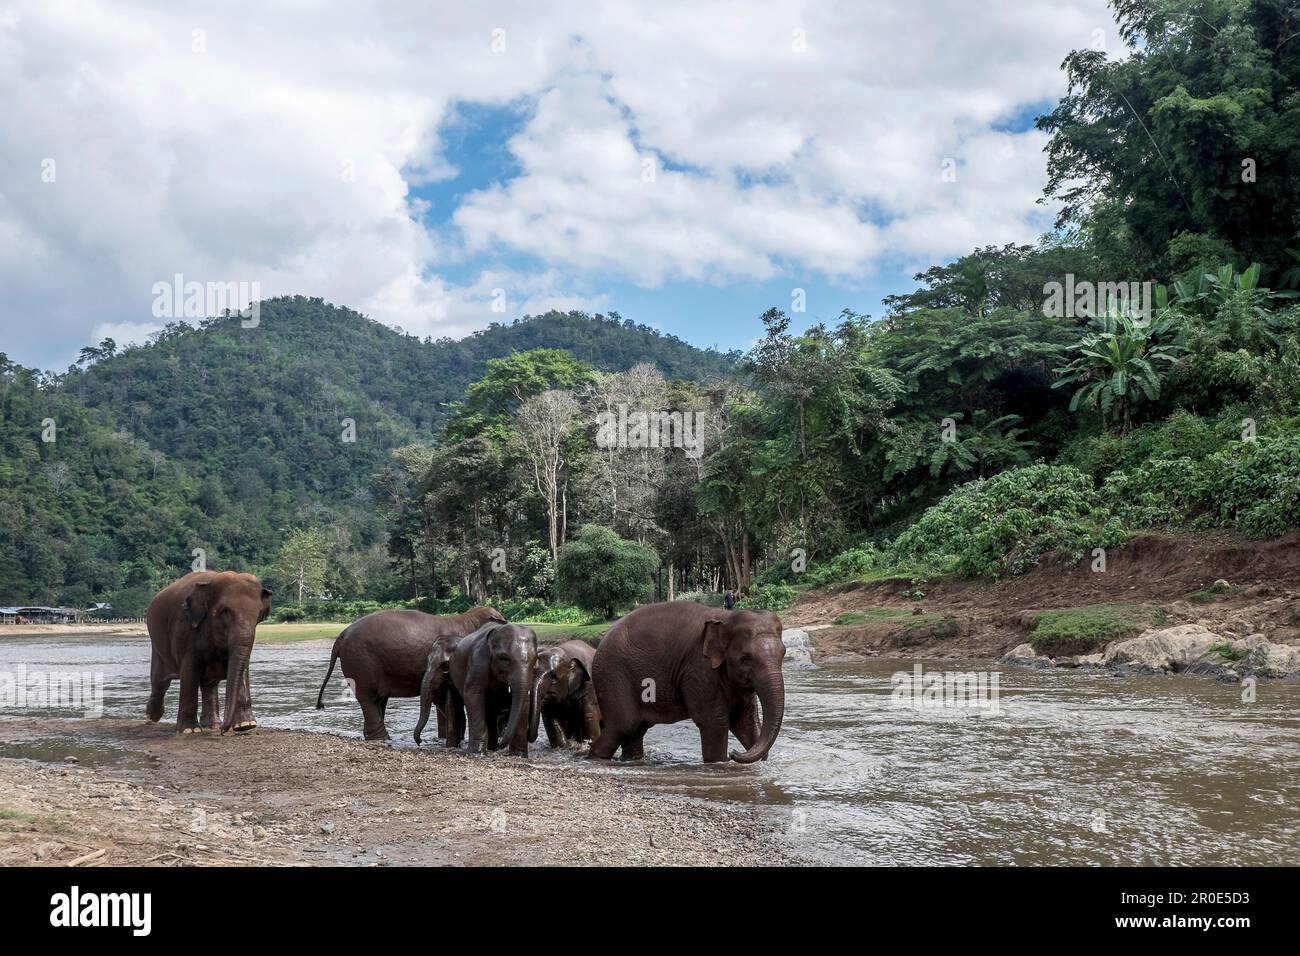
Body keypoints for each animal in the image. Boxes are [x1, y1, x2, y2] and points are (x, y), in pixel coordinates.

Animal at [145, 572, 271, 738]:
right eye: (225, 611)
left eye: (259, 613)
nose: (223, 731)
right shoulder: (184, 629)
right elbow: (189, 670)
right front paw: (189, 730)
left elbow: (242, 669)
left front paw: (246, 725)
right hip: (159, 647)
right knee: (159, 682)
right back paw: (152, 716)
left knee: (209, 684)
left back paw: (212, 725)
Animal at [312, 608, 504, 743]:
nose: (419, 741)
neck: (467, 618)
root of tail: (340, 636)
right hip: (360, 663)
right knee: (368, 698)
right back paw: (383, 739)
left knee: (378, 701)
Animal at [587, 606, 780, 764]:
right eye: (745, 659)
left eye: (783, 653)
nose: (734, 753)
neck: (725, 616)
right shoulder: (698, 670)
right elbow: (714, 721)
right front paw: (720, 762)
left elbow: (745, 720)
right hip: (612, 674)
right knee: (623, 725)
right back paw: (595, 758)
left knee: (636, 730)